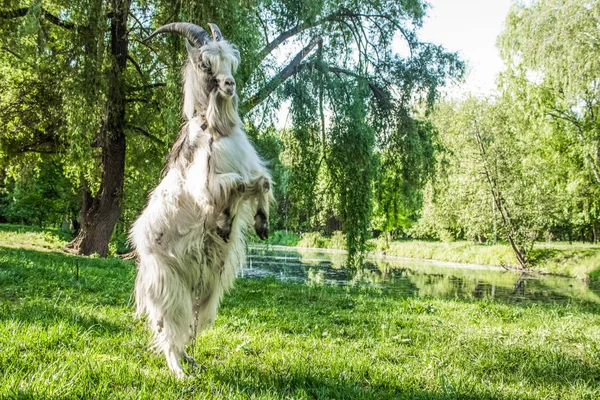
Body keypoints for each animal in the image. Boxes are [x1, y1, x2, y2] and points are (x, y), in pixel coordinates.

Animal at [132, 22, 274, 378]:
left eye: (231, 62)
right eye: (205, 64)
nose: (229, 84)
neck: (217, 128)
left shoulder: (247, 165)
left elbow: (261, 181)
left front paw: (262, 222)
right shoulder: (208, 187)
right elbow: (237, 185)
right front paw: (224, 222)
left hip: (207, 293)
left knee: (186, 331)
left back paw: (192, 361)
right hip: (171, 289)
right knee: (169, 331)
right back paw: (179, 373)